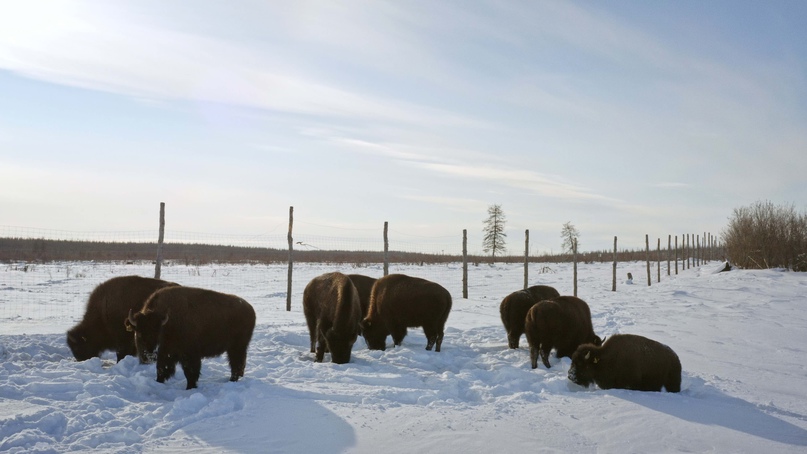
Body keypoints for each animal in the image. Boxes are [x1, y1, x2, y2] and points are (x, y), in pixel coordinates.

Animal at [126, 286, 256, 388]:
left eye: (158, 332)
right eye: (139, 332)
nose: (150, 355)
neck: (168, 322)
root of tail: (250, 309)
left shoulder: (189, 354)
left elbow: (190, 372)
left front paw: (190, 387)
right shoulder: (166, 354)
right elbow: (161, 369)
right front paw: (158, 382)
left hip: (237, 347)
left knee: (236, 363)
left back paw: (233, 380)